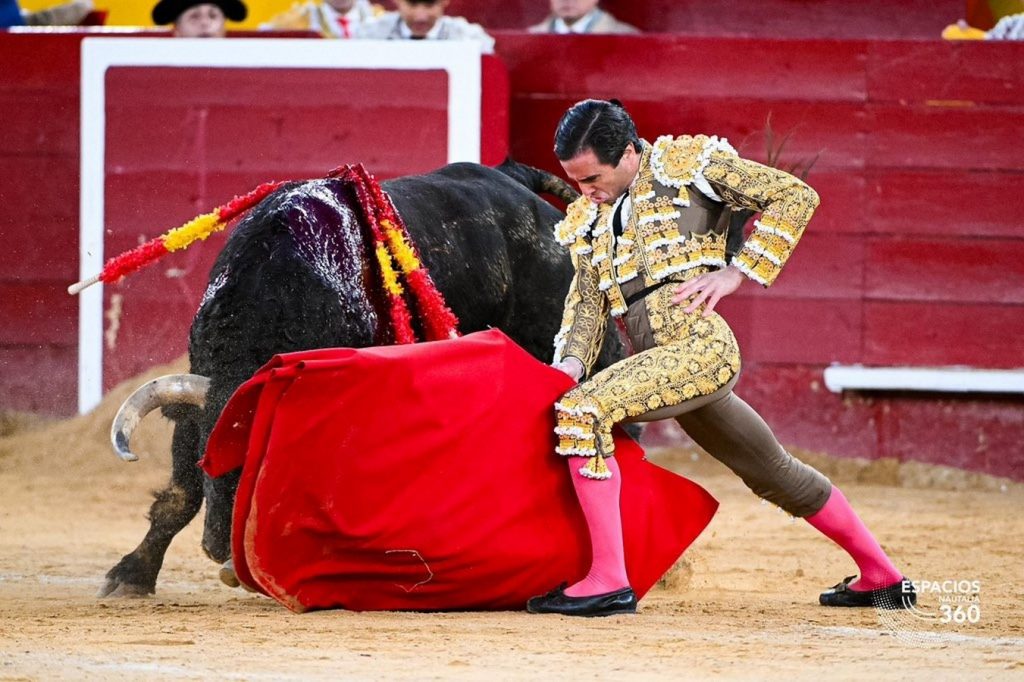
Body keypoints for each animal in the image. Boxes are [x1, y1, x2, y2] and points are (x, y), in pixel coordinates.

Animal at [99, 160, 628, 597]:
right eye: (208, 459)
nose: (223, 554)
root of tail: (511, 179)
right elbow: (178, 494)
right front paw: (131, 575)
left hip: (582, 332)